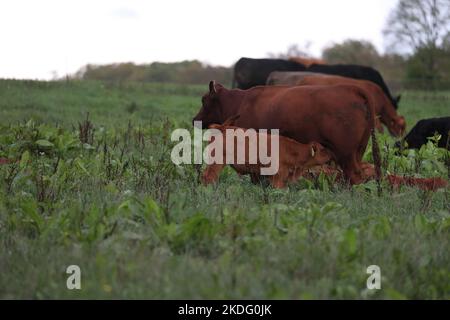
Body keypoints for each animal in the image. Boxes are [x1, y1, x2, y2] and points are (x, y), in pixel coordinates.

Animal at [202, 123, 332, 189]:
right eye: (322, 149)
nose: (330, 155)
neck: (291, 149)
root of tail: (222, 127)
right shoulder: (278, 176)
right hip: (217, 162)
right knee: (209, 177)